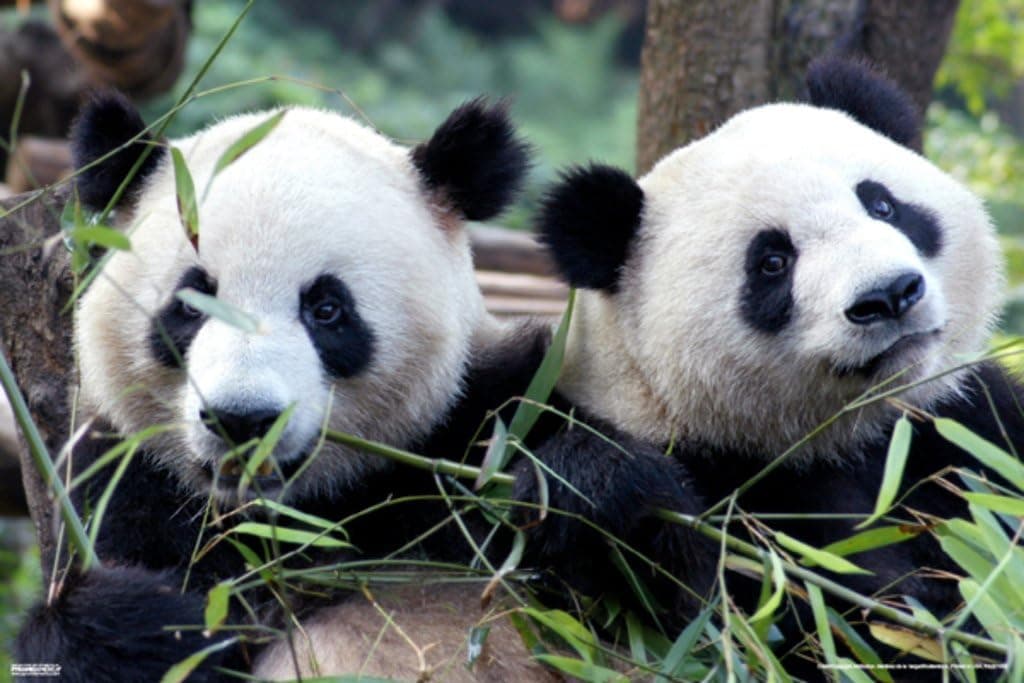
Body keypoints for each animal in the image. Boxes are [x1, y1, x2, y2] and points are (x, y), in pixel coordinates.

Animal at [14, 91, 565, 681]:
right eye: (190, 304)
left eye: (326, 309)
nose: (242, 419)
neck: (297, 517)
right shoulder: (131, 487)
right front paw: (140, 624)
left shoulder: (479, 418)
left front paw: (560, 489)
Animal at [532, 57, 1023, 672]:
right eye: (772, 262)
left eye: (883, 205)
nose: (888, 296)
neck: (845, 438)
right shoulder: (735, 489)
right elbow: (776, 620)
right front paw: (604, 485)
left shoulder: (959, 428)